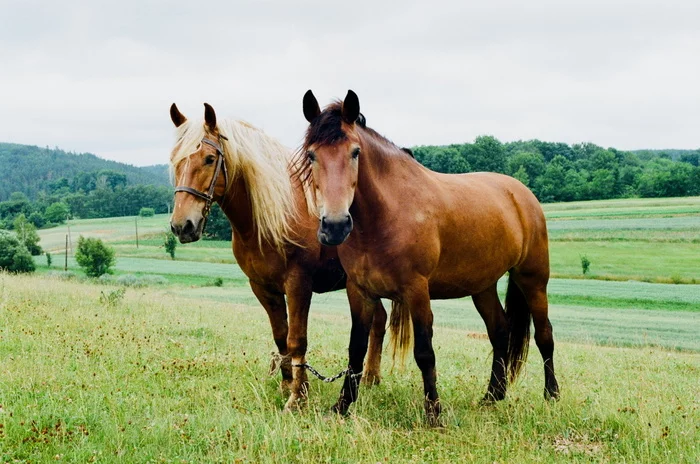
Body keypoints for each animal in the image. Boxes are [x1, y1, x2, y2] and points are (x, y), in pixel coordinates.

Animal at [170, 102, 388, 410]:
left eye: (210, 159)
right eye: (174, 160)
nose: (182, 226)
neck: (270, 217)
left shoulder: (298, 285)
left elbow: (297, 339)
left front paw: (298, 397)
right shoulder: (263, 288)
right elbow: (281, 337)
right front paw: (288, 385)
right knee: (379, 320)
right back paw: (370, 379)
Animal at [298, 89, 560, 424]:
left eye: (355, 152)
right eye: (311, 155)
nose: (334, 226)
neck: (388, 214)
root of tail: (522, 194)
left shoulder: (416, 290)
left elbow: (424, 352)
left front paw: (434, 414)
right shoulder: (360, 292)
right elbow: (356, 349)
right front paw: (342, 406)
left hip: (533, 279)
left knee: (544, 334)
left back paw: (551, 394)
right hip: (483, 287)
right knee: (500, 332)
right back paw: (492, 396)